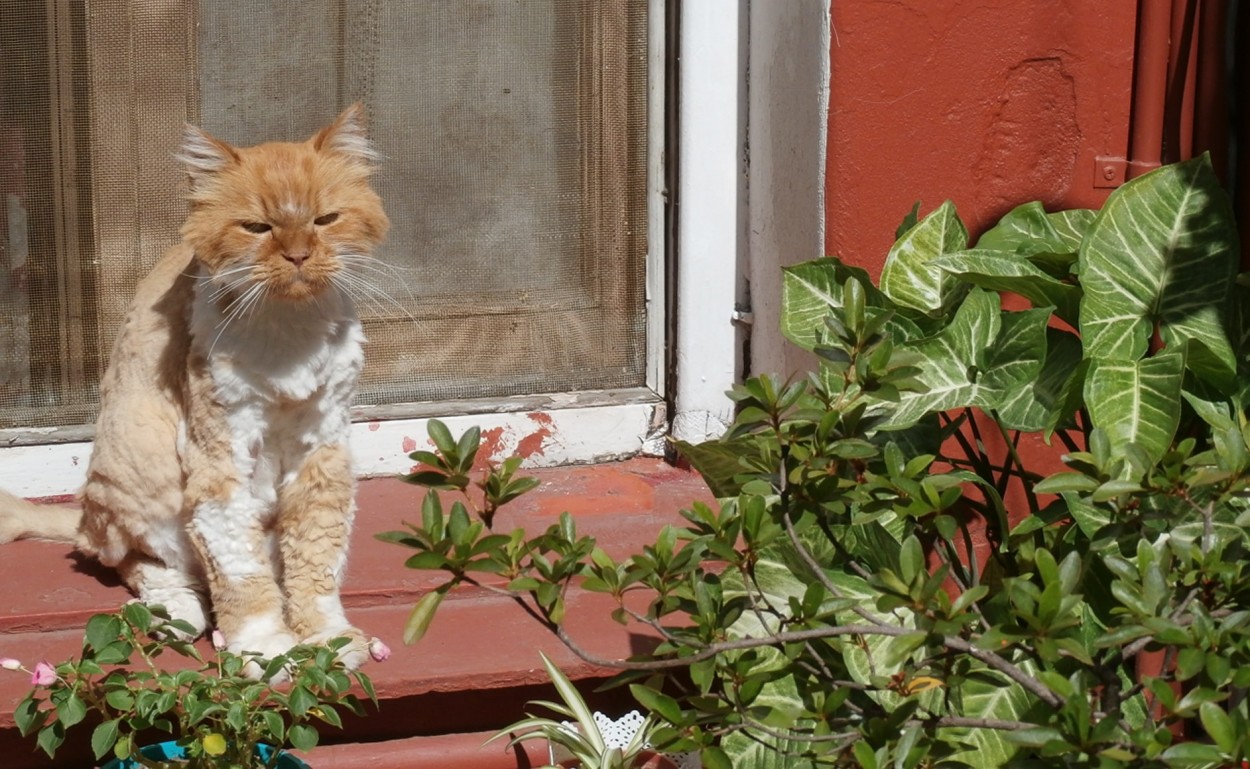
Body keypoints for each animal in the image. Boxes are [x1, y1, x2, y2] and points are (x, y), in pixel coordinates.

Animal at [0, 103, 387, 675]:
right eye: (257, 227)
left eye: (325, 220)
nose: (298, 255)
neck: (289, 330)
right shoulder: (220, 460)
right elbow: (241, 575)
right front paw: (267, 650)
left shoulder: (322, 453)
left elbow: (316, 561)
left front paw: (328, 639)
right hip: (143, 484)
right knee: (140, 564)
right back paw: (177, 611)